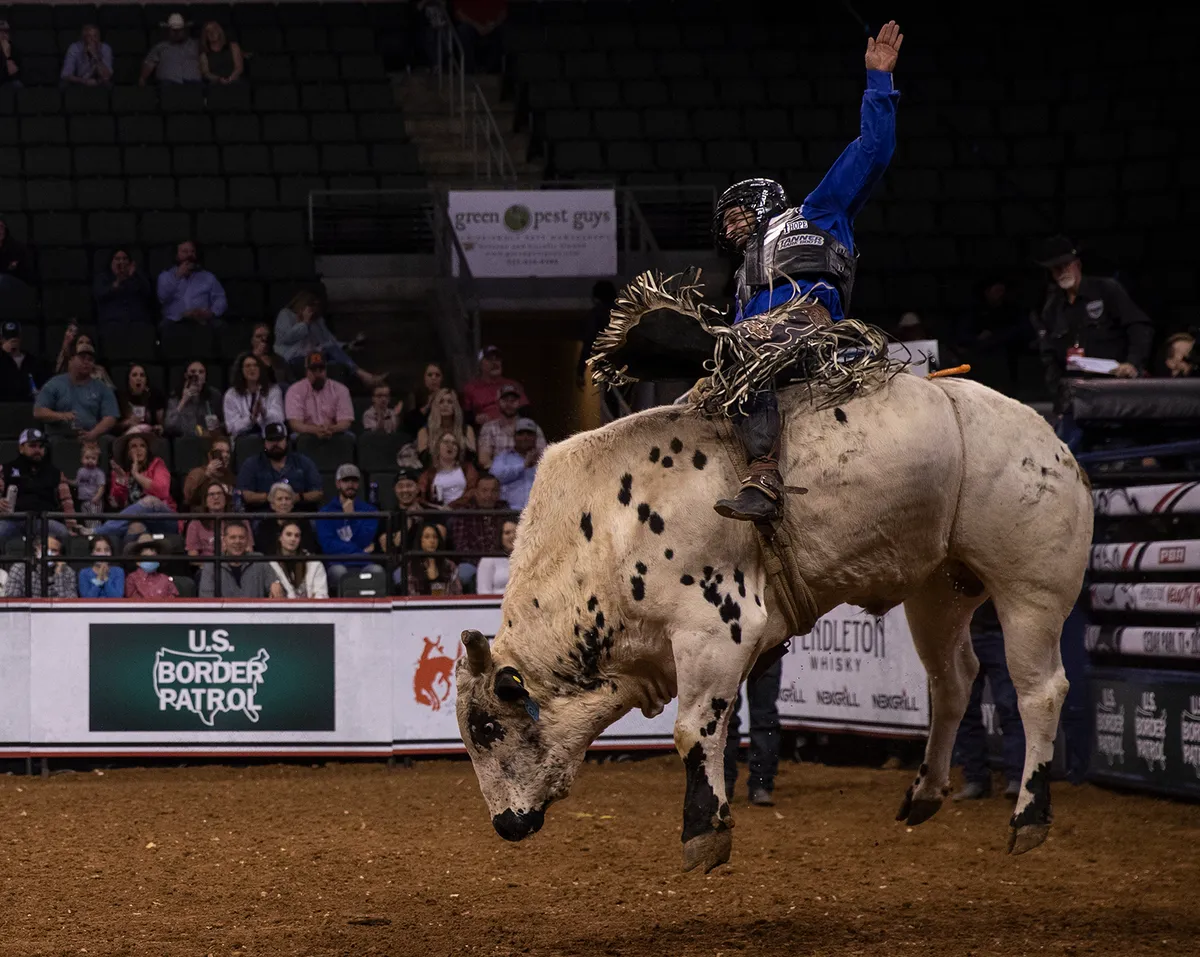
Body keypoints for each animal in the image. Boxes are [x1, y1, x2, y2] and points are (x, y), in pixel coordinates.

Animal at [453, 376, 1094, 877]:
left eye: (486, 727)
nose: (505, 825)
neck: (609, 534)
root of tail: (1056, 445)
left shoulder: (715, 630)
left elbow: (693, 730)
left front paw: (703, 832)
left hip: (1030, 588)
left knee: (1039, 691)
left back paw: (1029, 816)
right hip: (941, 590)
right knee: (953, 680)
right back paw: (924, 792)